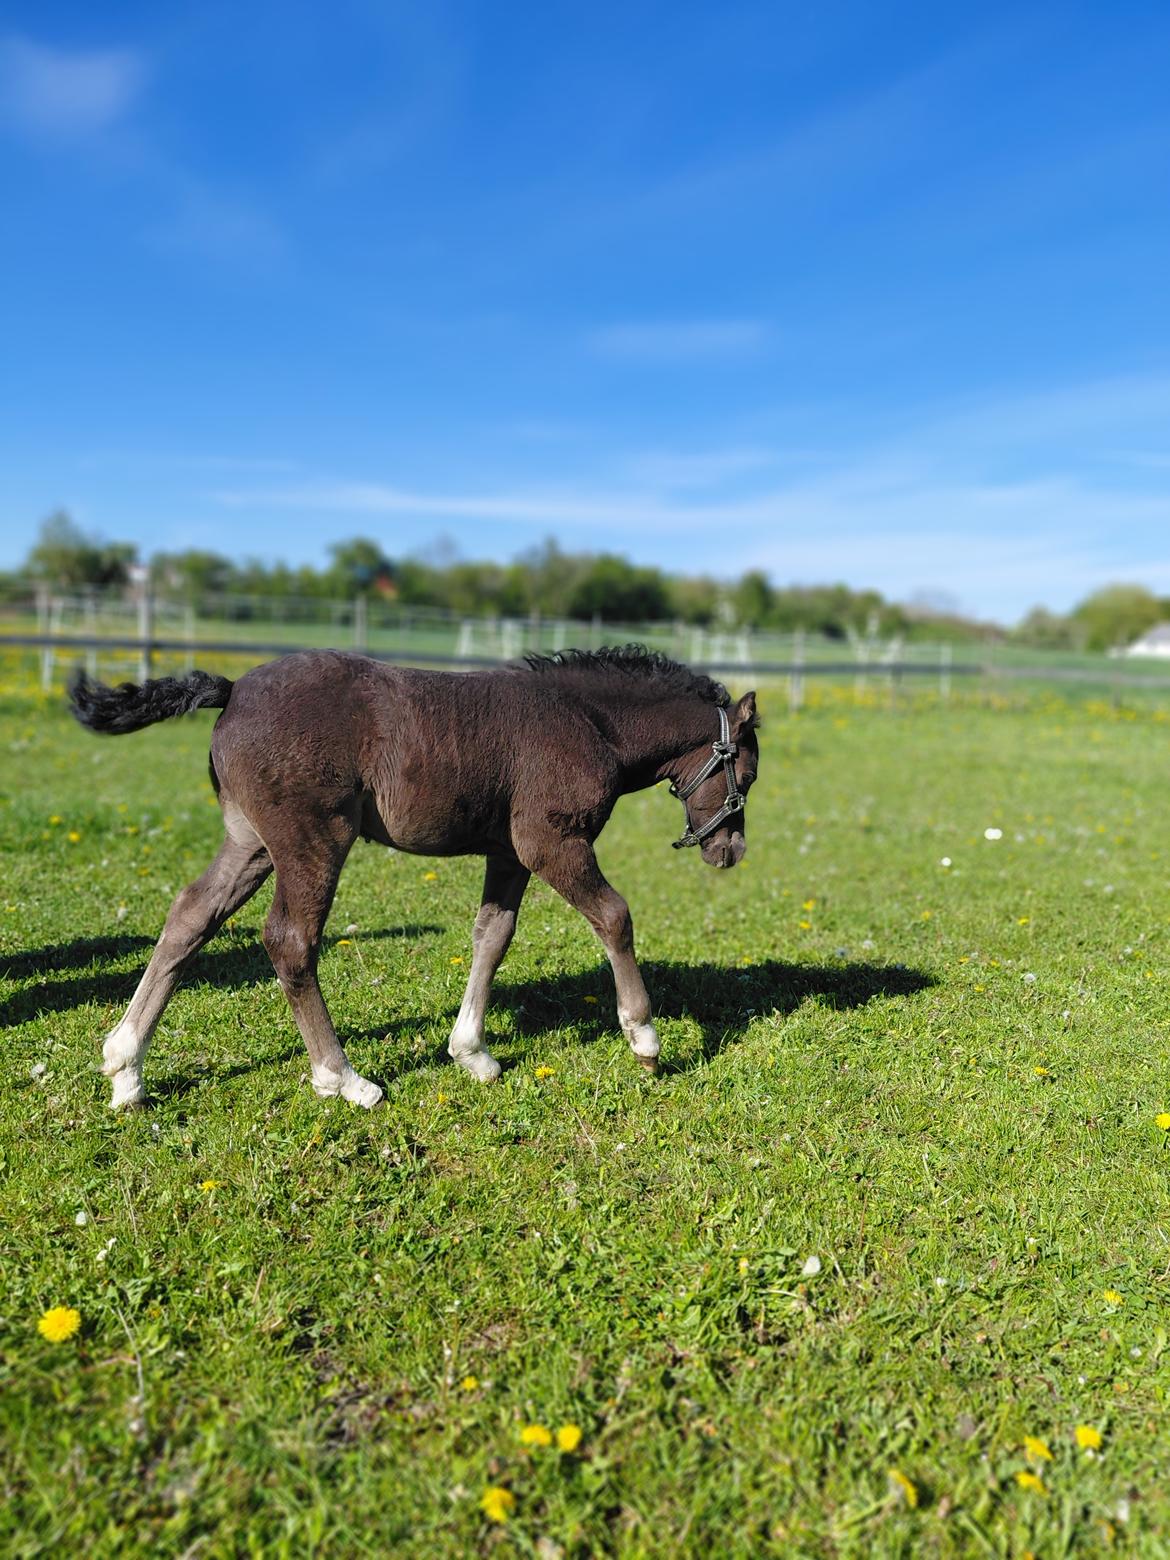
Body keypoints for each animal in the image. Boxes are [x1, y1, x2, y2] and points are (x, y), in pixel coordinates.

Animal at [69, 646, 759, 1110]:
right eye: (746, 775)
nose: (730, 850)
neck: (589, 721)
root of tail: (233, 689)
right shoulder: (552, 843)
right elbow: (614, 915)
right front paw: (644, 1038)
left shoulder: (510, 854)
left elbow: (492, 937)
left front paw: (471, 1053)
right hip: (313, 841)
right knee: (291, 940)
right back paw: (343, 1078)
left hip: (251, 844)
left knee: (191, 917)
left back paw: (126, 1068)